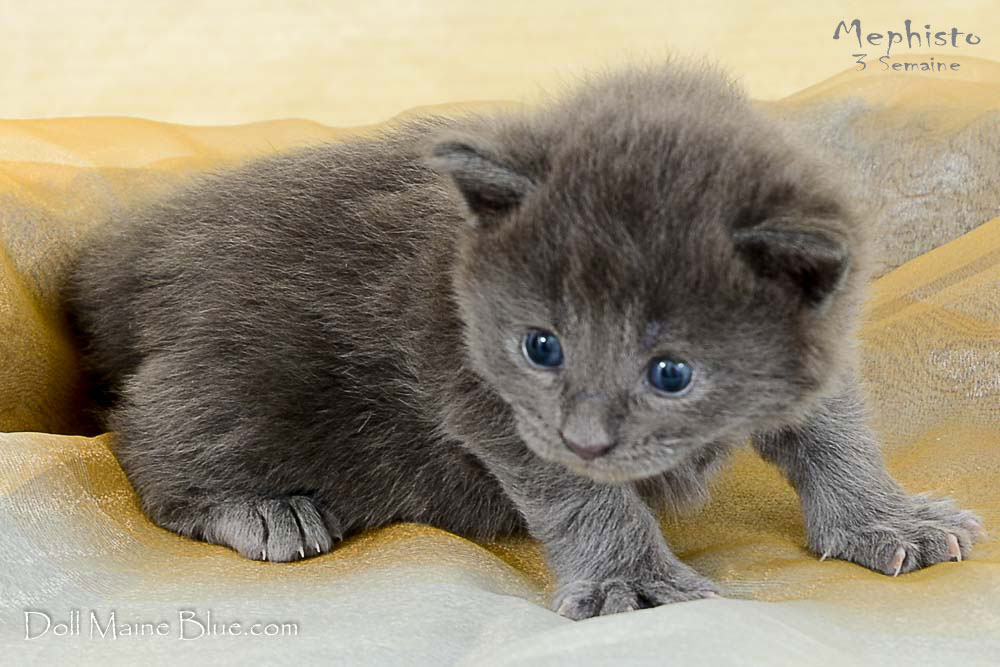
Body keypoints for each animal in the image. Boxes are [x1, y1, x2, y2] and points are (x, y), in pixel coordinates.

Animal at [65, 62, 983, 619]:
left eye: (672, 371)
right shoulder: (476, 381)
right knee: (142, 432)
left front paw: (887, 519)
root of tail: (130, 253)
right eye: (541, 347)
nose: (587, 434)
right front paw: (632, 582)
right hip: (239, 379)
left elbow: (835, 428)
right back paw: (255, 505)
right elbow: (580, 491)